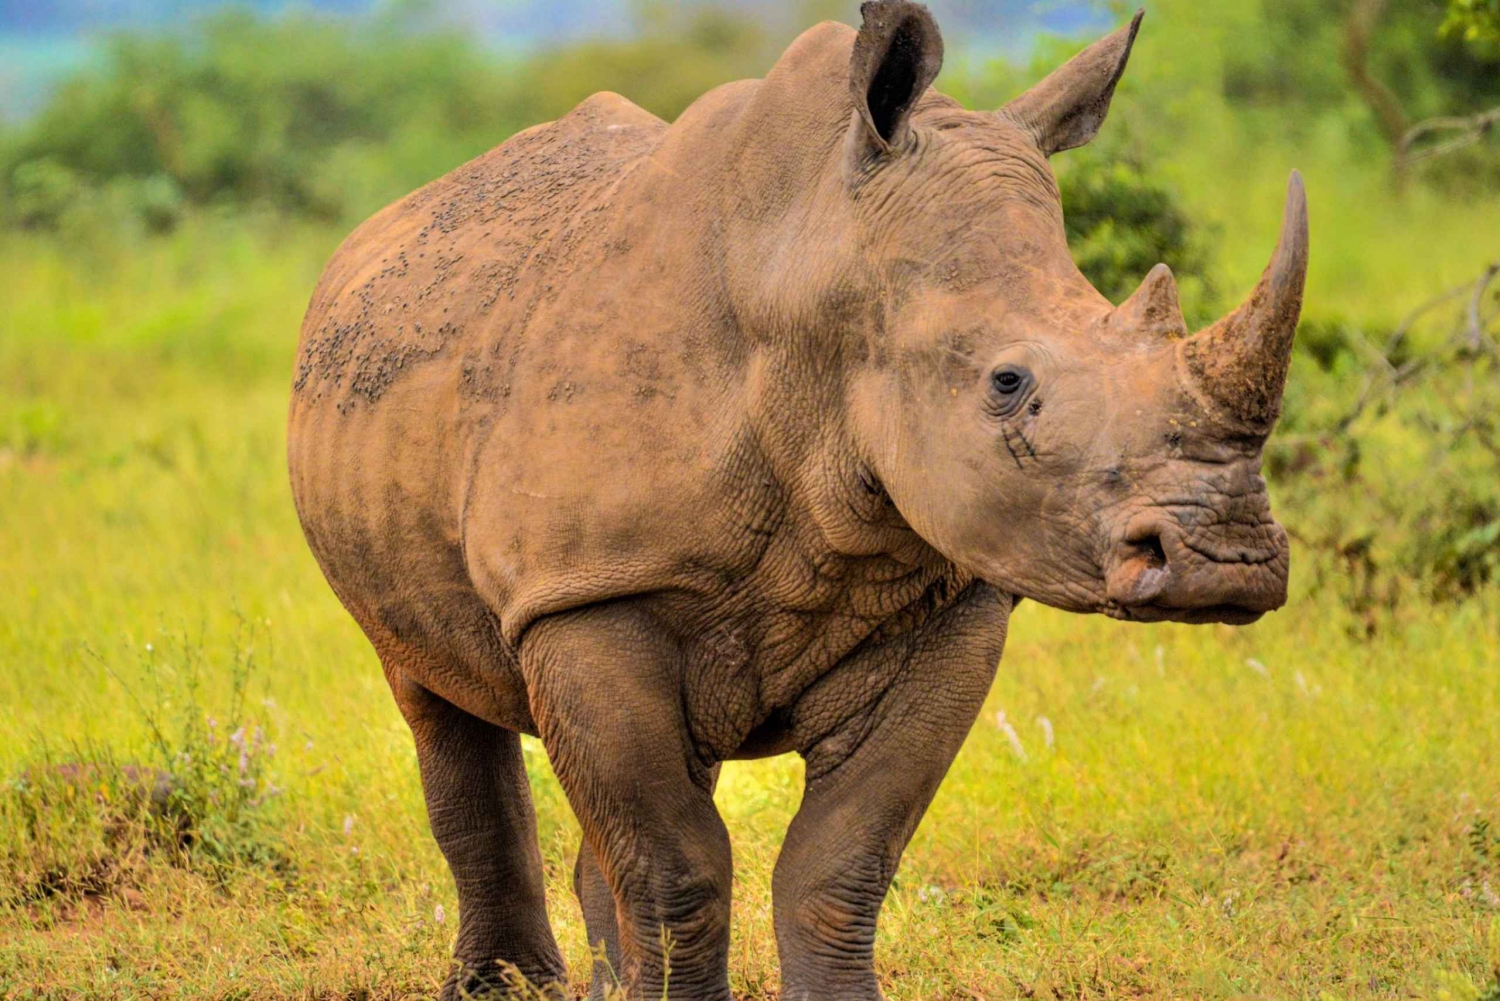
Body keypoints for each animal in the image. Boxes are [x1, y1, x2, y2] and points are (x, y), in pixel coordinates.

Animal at [287, 2, 1308, 998]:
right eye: (1008, 384)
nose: (1227, 562)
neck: (817, 277)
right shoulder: (584, 588)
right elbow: (675, 865)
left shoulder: (955, 600)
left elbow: (841, 860)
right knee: (434, 695)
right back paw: (502, 984)